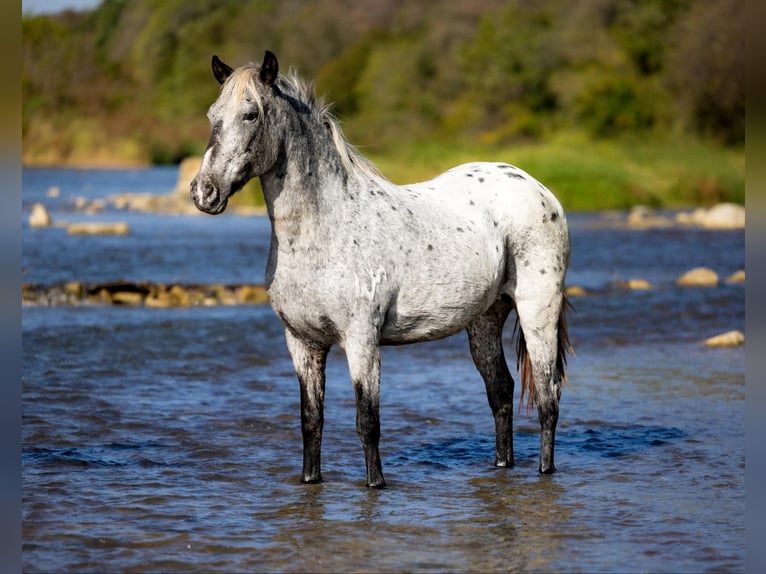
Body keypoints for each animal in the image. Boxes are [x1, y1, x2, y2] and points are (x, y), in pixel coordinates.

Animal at [191, 51, 572, 488]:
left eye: (251, 114)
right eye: (212, 114)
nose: (204, 192)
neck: (323, 229)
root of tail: (539, 190)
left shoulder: (361, 341)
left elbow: (367, 422)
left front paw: (376, 484)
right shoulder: (302, 343)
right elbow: (311, 421)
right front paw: (310, 479)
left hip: (537, 312)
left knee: (547, 397)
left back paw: (545, 470)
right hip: (485, 319)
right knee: (502, 393)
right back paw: (502, 464)